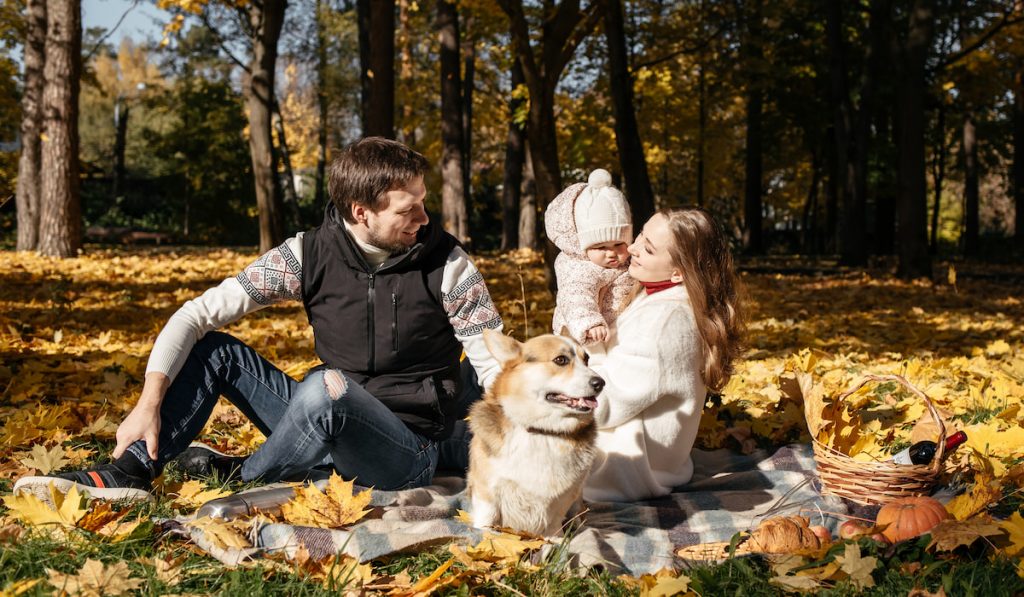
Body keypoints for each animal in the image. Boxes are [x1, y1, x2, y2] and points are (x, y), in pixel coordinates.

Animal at [468, 329, 602, 540]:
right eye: (561, 360)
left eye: (586, 359)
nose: (601, 383)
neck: (541, 431)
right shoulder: (485, 488)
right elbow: (487, 518)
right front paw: (485, 533)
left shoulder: (564, 497)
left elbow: (554, 524)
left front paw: (555, 541)